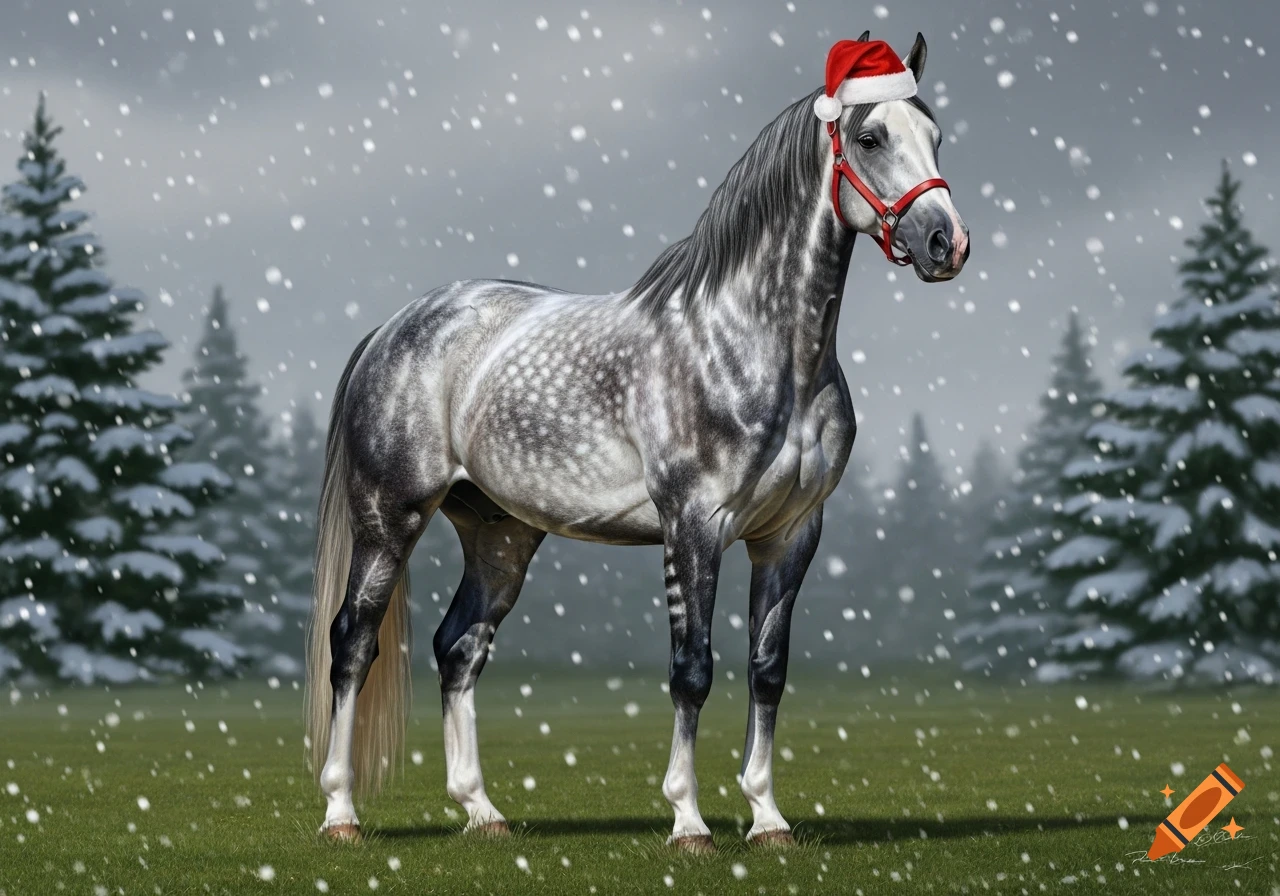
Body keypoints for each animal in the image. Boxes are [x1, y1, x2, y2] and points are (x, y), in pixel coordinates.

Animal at [304, 31, 969, 852]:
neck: (760, 345)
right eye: (871, 137)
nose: (946, 242)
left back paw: (482, 812)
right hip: (387, 518)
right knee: (352, 641)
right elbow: (692, 668)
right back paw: (341, 812)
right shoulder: (694, 525)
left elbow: (767, 669)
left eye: (935, 134)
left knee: (458, 648)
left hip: (499, 534)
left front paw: (768, 818)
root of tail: (391, 328)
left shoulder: (791, 534)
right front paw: (688, 821)